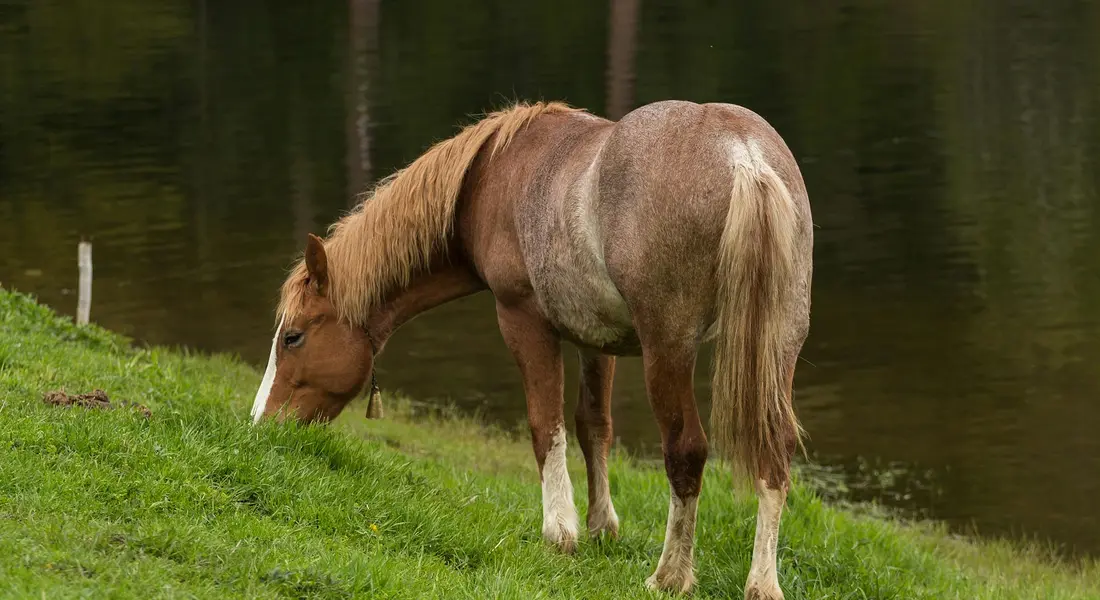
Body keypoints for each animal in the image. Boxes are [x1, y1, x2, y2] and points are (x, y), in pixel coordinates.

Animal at [250, 100, 813, 599]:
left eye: (293, 336)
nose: (260, 426)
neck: (488, 177)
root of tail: (744, 156)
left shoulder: (523, 321)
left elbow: (546, 427)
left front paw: (559, 532)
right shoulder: (598, 340)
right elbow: (593, 427)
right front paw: (601, 527)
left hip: (668, 350)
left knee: (686, 451)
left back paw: (670, 576)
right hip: (777, 346)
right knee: (775, 451)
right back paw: (762, 584)